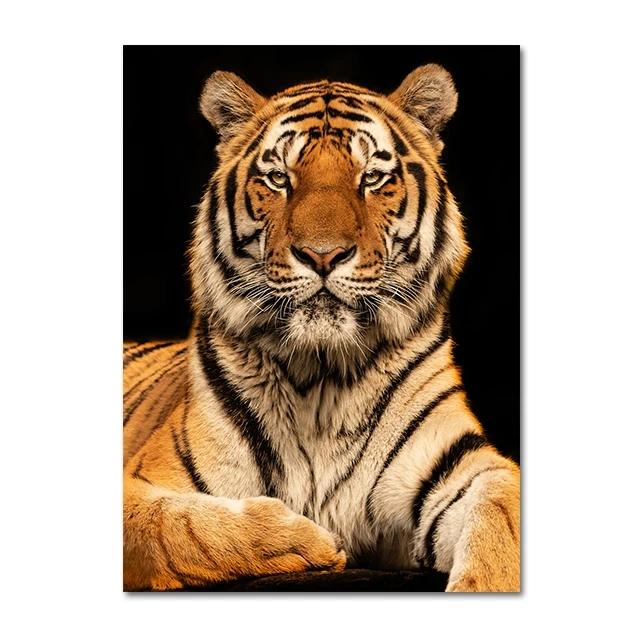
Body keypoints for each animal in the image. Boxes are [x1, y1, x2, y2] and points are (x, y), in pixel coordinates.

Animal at [123, 64, 520, 592]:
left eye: (372, 178)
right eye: (278, 178)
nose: (322, 255)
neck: (321, 379)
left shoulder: (471, 468)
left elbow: (500, 524)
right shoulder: (143, 482)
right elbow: (179, 527)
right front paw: (308, 541)